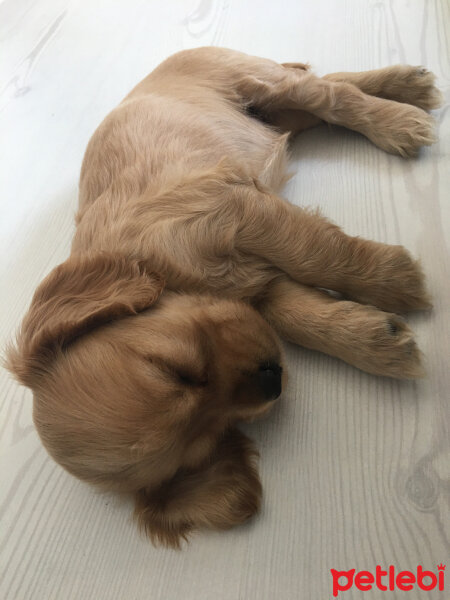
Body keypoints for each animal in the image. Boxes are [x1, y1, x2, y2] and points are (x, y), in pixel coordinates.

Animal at [7, 47, 442, 548]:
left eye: (173, 369)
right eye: (210, 435)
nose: (273, 379)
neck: (158, 265)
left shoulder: (233, 211)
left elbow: (316, 253)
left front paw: (396, 280)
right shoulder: (252, 287)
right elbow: (296, 315)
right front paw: (376, 341)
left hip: (251, 79)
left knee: (331, 94)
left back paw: (400, 118)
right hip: (276, 113)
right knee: (328, 88)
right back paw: (410, 86)